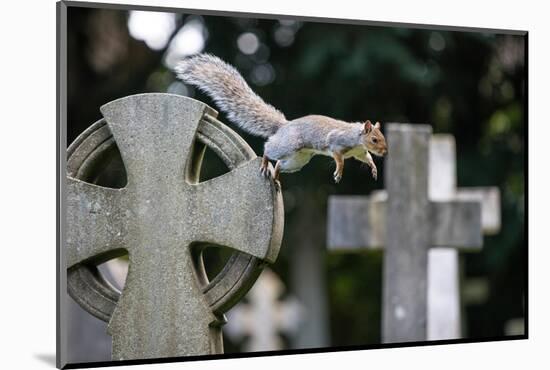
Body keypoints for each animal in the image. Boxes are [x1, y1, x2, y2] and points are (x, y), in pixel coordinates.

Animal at [176, 52, 388, 184]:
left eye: (383, 138)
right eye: (374, 139)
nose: (385, 152)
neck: (357, 138)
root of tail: (284, 126)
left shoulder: (359, 152)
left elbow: (367, 158)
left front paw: (374, 168)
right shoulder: (337, 142)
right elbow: (339, 158)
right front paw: (339, 171)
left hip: (298, 160)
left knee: (279, 163)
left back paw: (276, 174)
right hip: (289, 146)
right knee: (269, 149)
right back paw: (264, 163)